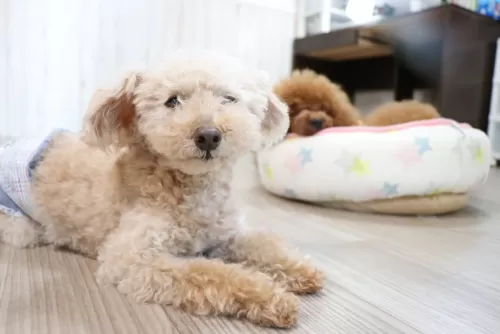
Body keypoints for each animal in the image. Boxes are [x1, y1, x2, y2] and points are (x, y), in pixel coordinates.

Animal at [0, 52, 324, 328]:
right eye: (172, 101)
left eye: (229, 98)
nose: (208, 135)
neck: (191, 189)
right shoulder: (132, 259)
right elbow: (210, 272)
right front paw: (272, 297)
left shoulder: (226, 233)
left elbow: (262, 243)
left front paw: (300, 270)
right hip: (20, 225)